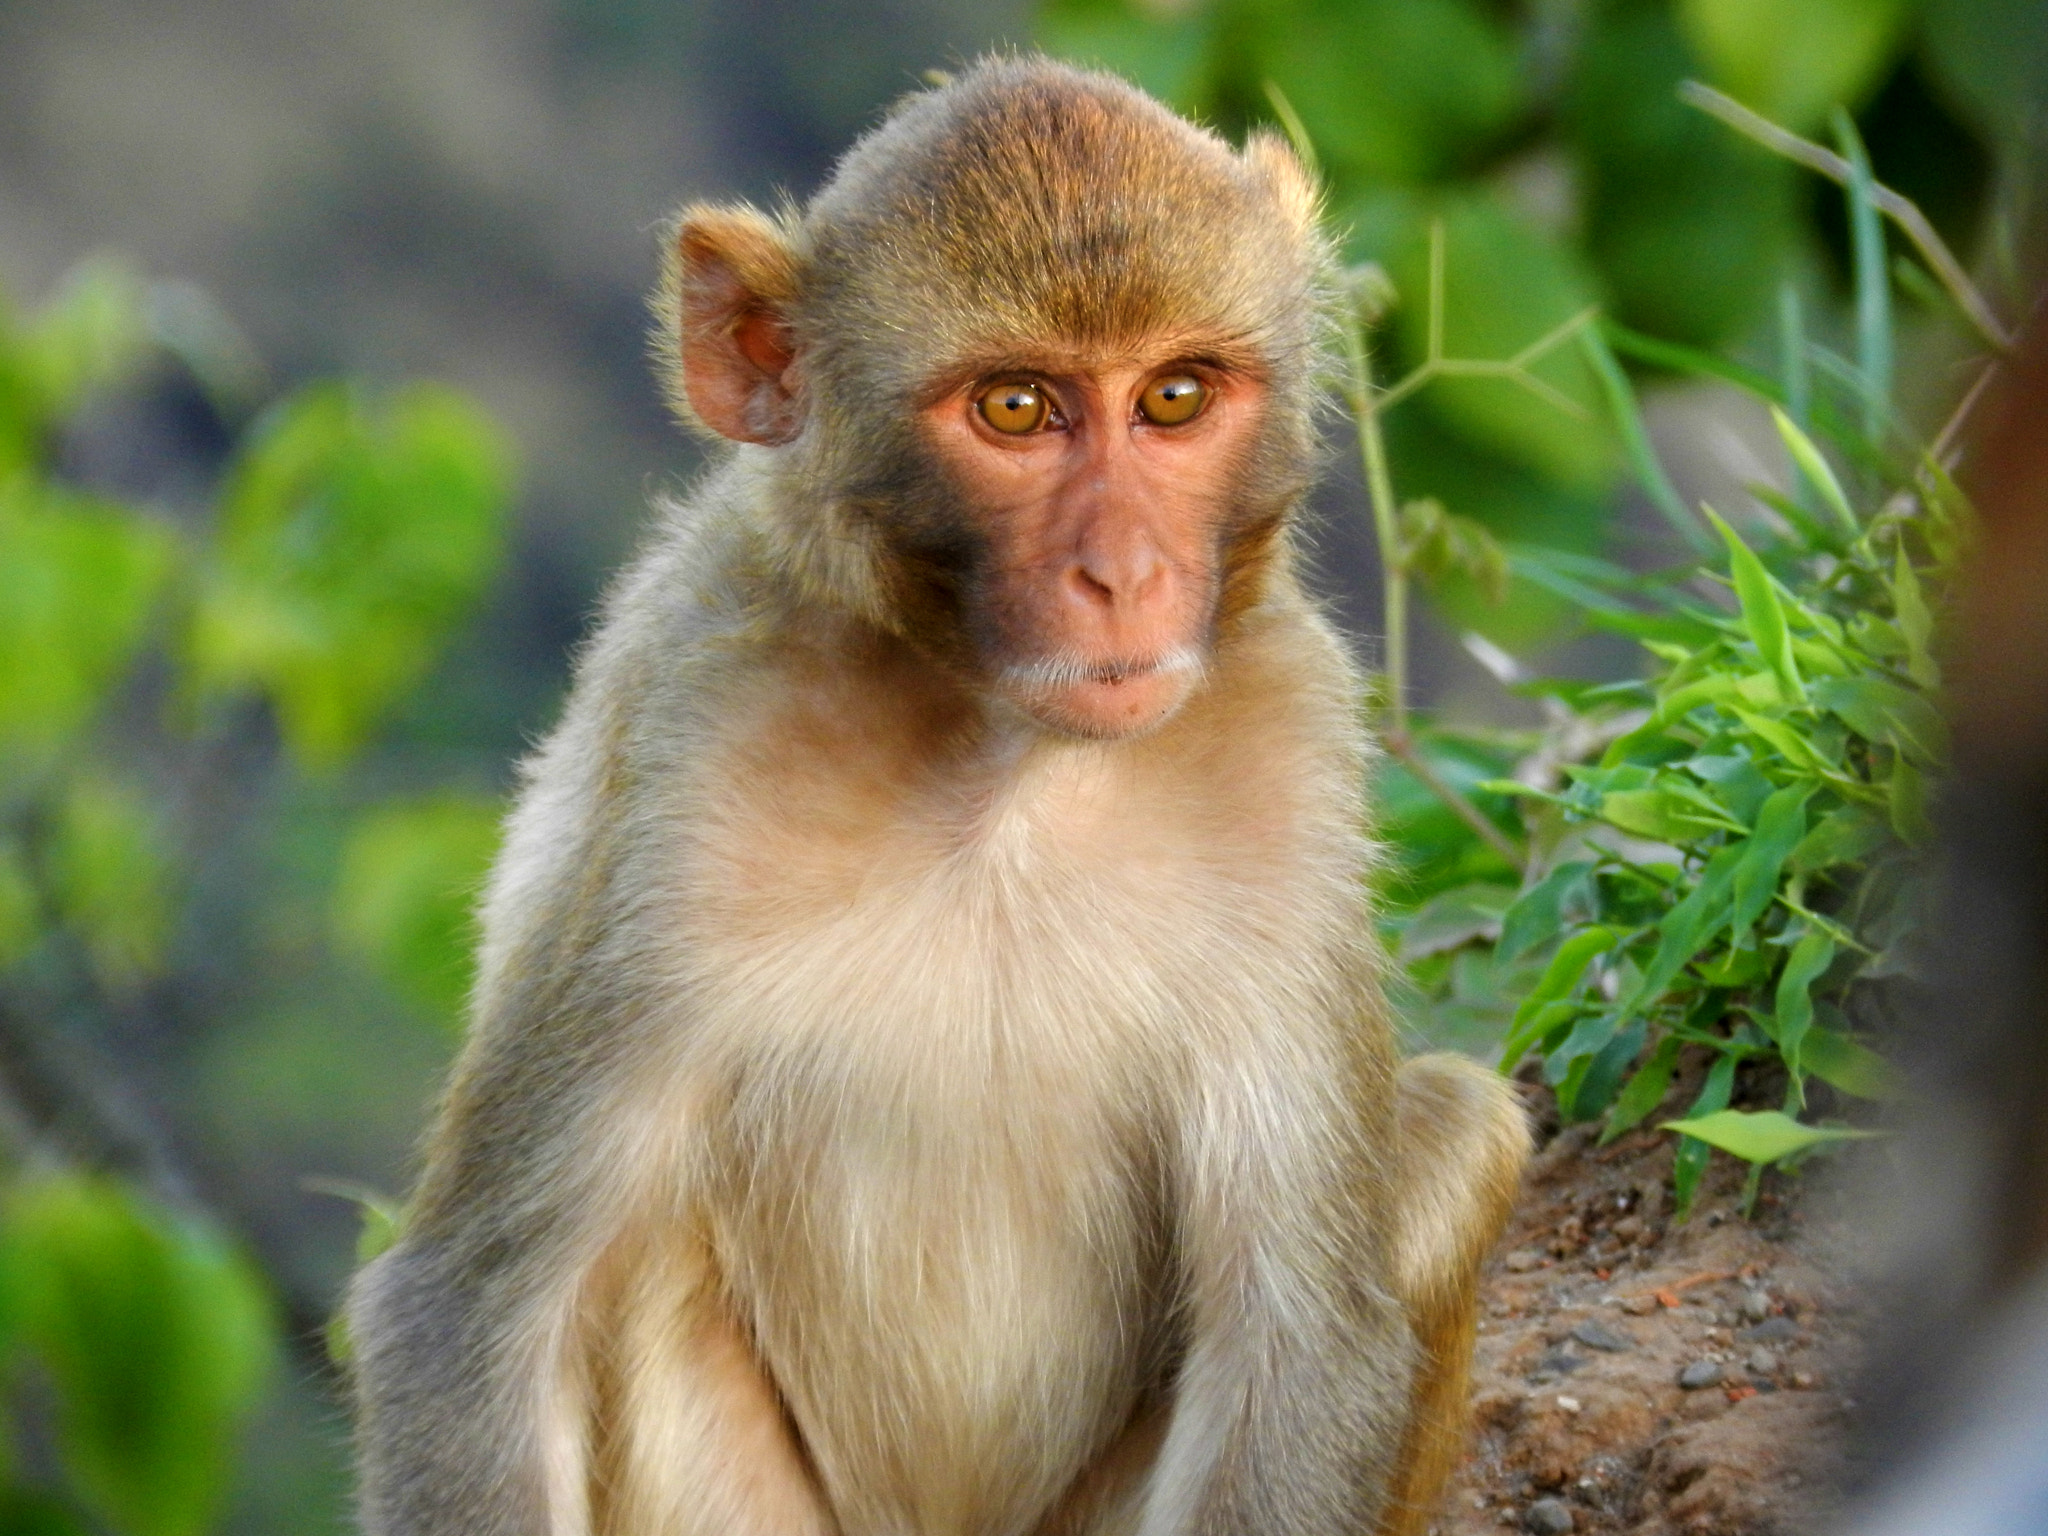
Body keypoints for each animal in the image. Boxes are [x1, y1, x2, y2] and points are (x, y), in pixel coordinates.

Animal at [346, 55, 1528, 1536]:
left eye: (1175, 398)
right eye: (1015, 409)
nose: (1125, 574)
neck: (1007, 765)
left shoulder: (1293, 756)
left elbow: (1300, 1336)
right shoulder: (684, 762)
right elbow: (479, 1312)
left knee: (1455, 1127)